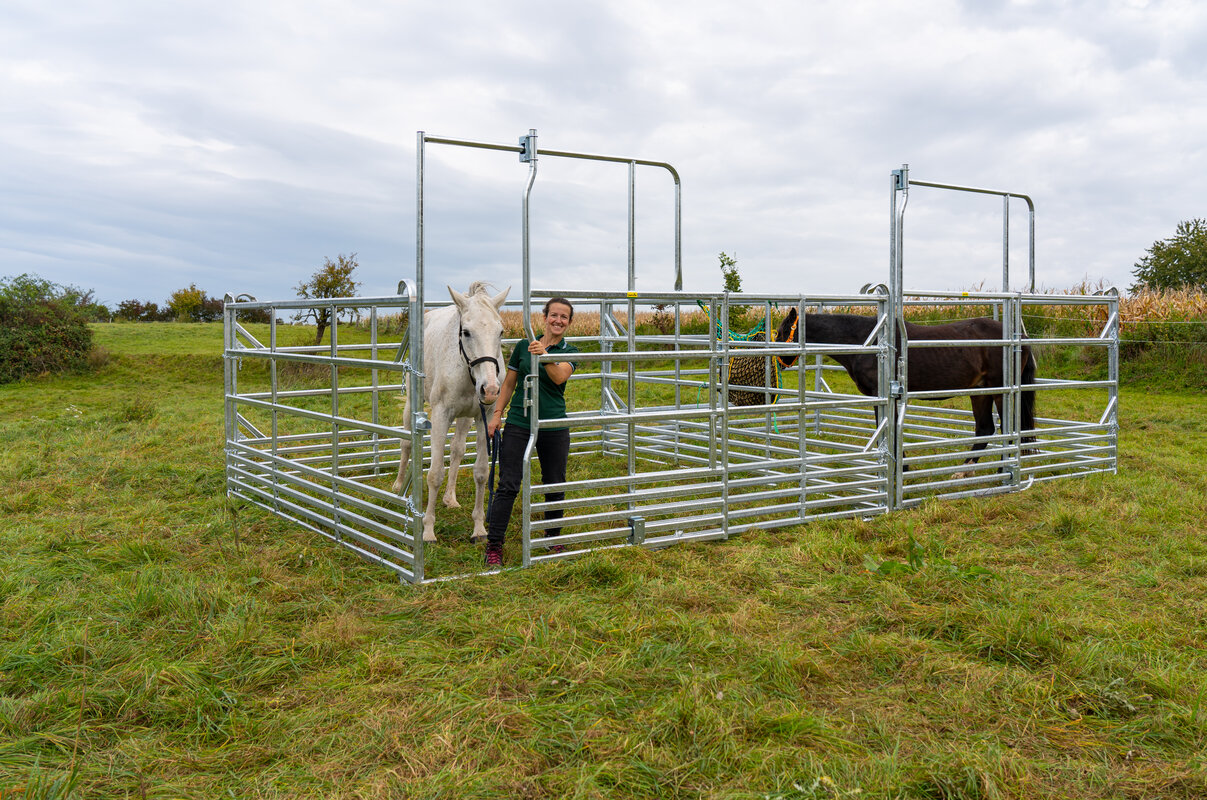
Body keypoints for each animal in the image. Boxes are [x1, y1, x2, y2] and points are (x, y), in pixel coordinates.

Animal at [395, 281, 509, 545]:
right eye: (466, 332)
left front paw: (479, 528)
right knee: (406, 443)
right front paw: (427, 531)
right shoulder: (440, 415)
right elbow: (434, 473)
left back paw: (450, 498)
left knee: (457, 450)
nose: (490, 389)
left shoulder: (483, 417)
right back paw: (398, 485)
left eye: (500, 332)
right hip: (412, 402)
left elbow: (481, 472)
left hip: (465, 417)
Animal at [772, 305, 1038, 470]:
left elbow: (888, 433)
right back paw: (963, 471)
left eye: (783, 331)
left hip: (1000, 391)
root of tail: (1020, 338)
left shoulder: (884, 396)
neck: (870, 342)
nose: (776, 361)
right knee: (985, 429)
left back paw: (1002, 471)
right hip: (980, 392)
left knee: (1008, 430)